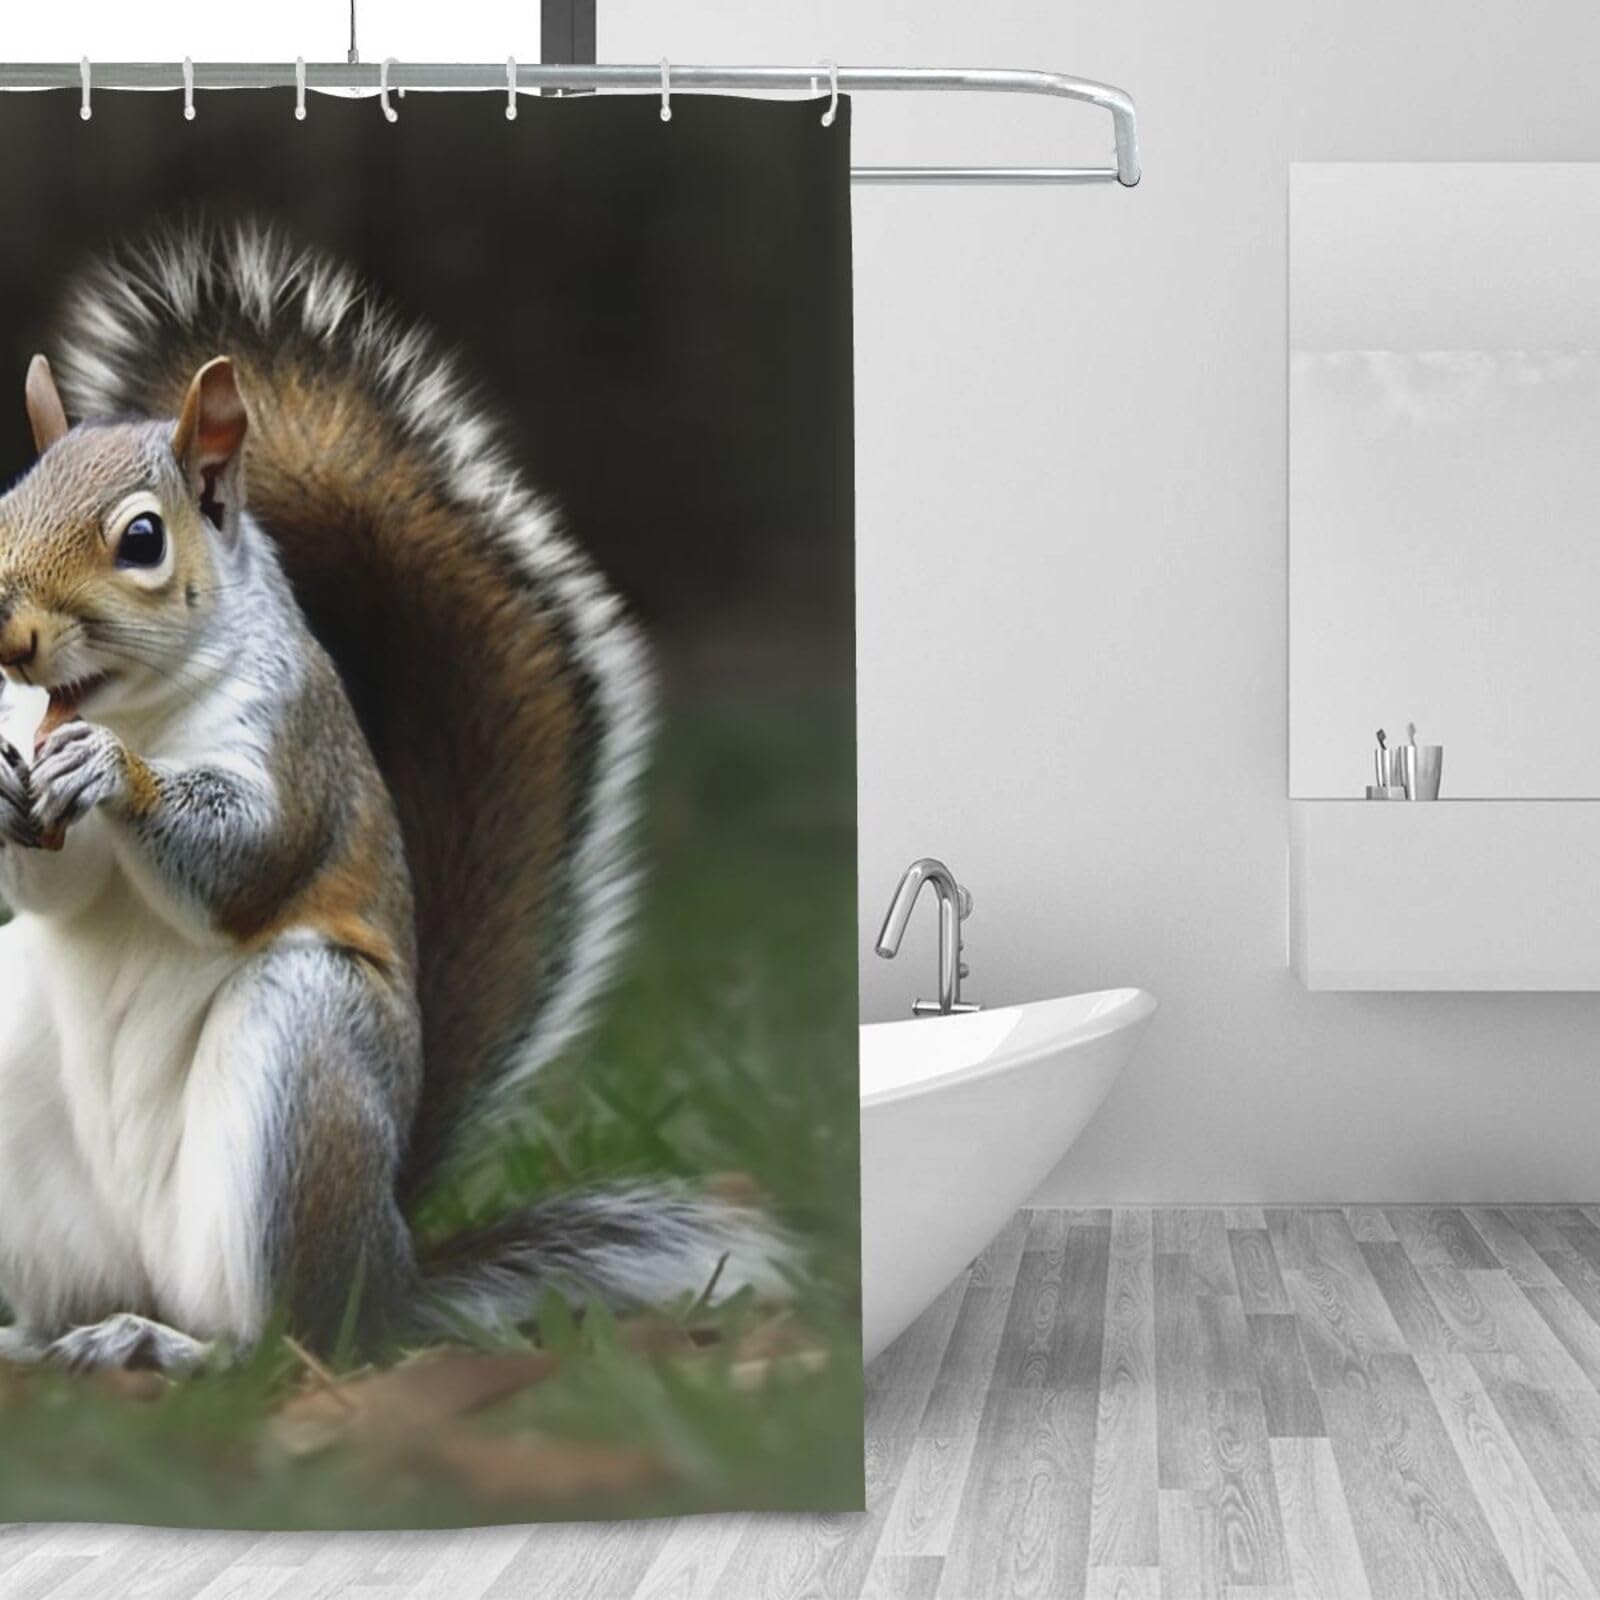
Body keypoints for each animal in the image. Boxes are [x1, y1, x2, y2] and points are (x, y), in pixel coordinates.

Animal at [0, 222, 786, 1374]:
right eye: (1, 511)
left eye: (141, 539)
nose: (10, 639)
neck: (138, 703)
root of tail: (391, 1270)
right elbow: (50, 887)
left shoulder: (298, 747)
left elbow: (249, 861)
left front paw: (112, 771)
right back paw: (35, 1335)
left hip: (306, 1065)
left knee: (285, 1338)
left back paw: (179, 1346)